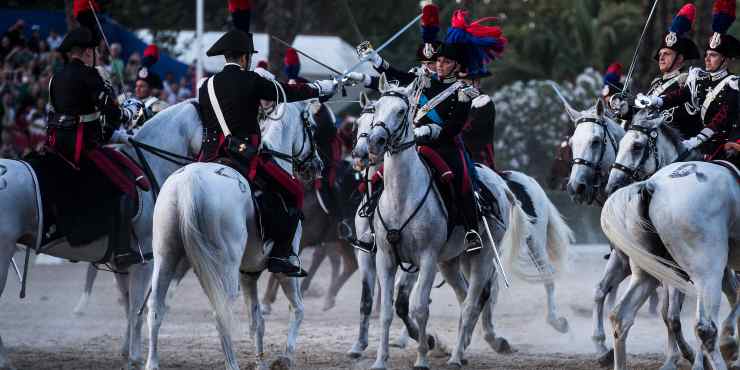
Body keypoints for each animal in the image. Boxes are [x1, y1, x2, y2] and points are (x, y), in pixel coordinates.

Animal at [0, 99, 201, 370]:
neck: (149, 165)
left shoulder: (124, 262)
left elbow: (128, 305)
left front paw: (127, 352)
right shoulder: (144, 262)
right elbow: (136, 307)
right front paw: (136, 356)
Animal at [147, 100, 324, 370]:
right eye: (312, 127)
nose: (317, 166)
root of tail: (188, 183)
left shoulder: (248, 273)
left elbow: (256, 322)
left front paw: (261, 362)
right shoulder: (286, 268)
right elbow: (298, 309)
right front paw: (286, 357)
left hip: (166, 258)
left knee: (156, 306)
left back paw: (151, 362)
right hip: (225, 268)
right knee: (221, 312)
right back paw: (232, 364)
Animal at [600, 108, 740, 368]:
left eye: (636, 146)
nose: (612, 185)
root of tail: (652, 184)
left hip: (647, 273)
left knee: (620, 317)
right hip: (707, 271)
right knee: (705, 328)